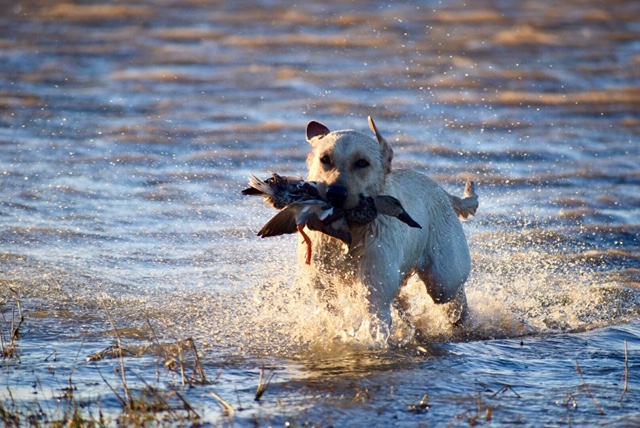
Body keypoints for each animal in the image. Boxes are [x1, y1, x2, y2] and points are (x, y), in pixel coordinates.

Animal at [298, 117, 476, 338]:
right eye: (325, 159)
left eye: (362, 163)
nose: (335, 194)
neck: (351, 232)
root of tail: (441, 190)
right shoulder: (321, 281)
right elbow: (332, 311)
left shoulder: (375, 288)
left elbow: (374, 318)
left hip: (443, 278)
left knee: (453, 292)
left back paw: (462, 319)